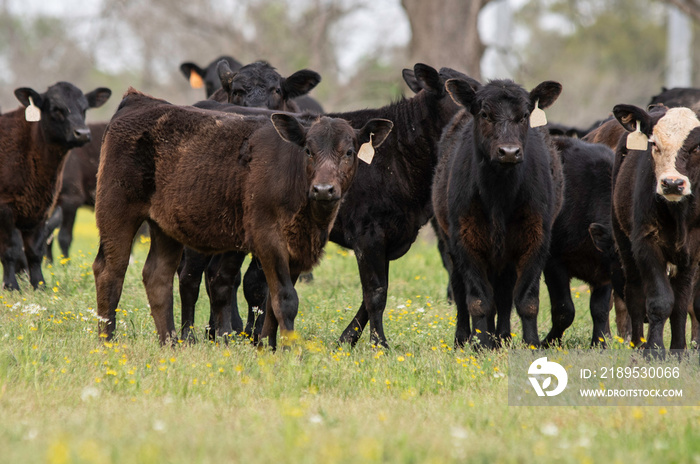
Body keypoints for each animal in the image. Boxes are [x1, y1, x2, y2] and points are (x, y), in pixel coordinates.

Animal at [432, 78, 564, 346]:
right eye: (484, 114)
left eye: (525, 115)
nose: (509, 152)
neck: (499, 197)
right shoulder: (466, 240)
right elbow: (479, 301)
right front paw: (481, 344)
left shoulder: (536, 239)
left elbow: (526, 300)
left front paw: (531, 344)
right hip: (449, 244)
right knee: (460, 293)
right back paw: (464, 338)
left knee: (503, 296)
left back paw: (501, 337)